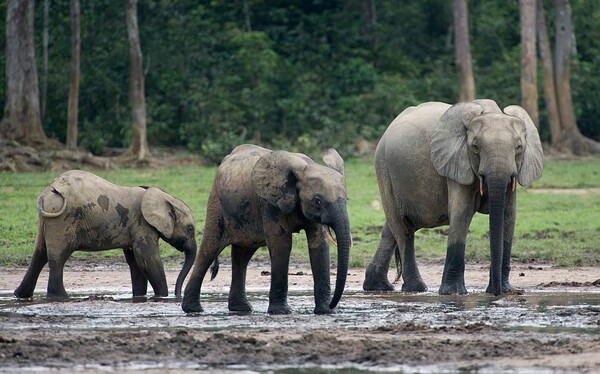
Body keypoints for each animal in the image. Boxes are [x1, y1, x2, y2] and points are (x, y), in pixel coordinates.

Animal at [14, 171, 197, 300]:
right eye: (190, 229)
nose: (178, 295)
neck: (164, 196)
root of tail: (50, 190)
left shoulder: (133, 227)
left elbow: (136, 263)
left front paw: (140, 297)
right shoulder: (142, 225)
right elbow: (148, 260)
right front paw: (163, 296)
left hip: (47, 219)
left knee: (40, 254)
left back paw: (21, 295)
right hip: (63, 220)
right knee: (58, 256)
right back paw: (60, 297)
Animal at [182, 145, 352, 314]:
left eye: (346, 200)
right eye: (318, 201)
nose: (333, 304)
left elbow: (319, 246)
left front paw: (326, 311)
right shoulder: (270, 203)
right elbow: (282, 245)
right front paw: (281, 312)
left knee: (242, 255)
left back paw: (241, 309)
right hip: (216, 203)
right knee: (209, 249)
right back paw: (193, 309)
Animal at [360, 98, 544, 296]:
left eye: (519, 148)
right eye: (475, 147)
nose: (494, 292)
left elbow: (508, 215)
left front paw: (507, 290)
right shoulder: (455, 163)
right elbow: (462, 212)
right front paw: (453, 293)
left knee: (392, 228)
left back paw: (377, 287)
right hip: (384, 170)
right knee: (403, 228)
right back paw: (417, 289)